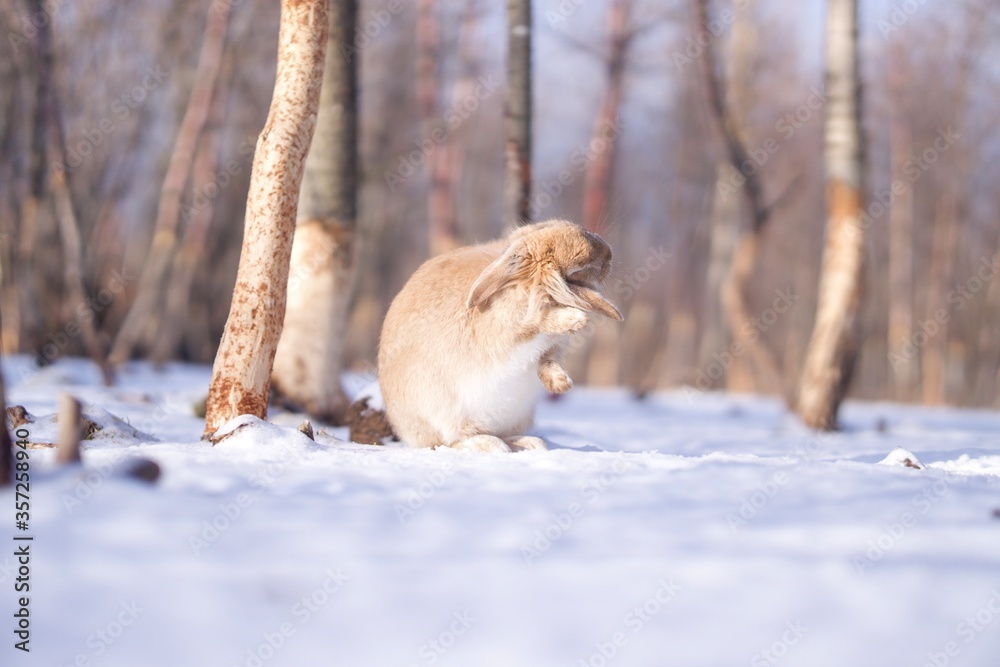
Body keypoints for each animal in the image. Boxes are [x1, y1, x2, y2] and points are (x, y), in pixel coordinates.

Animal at [378, 219, 623, 453]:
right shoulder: (506, 328)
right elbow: (533, 322)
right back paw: (492, 445)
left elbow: (548, 359)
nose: (610, 253)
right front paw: (575, 319)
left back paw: (528, 443)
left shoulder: (551, 347)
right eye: (580, 268)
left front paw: (560, 384)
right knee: (449, 441)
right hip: (441, 411)